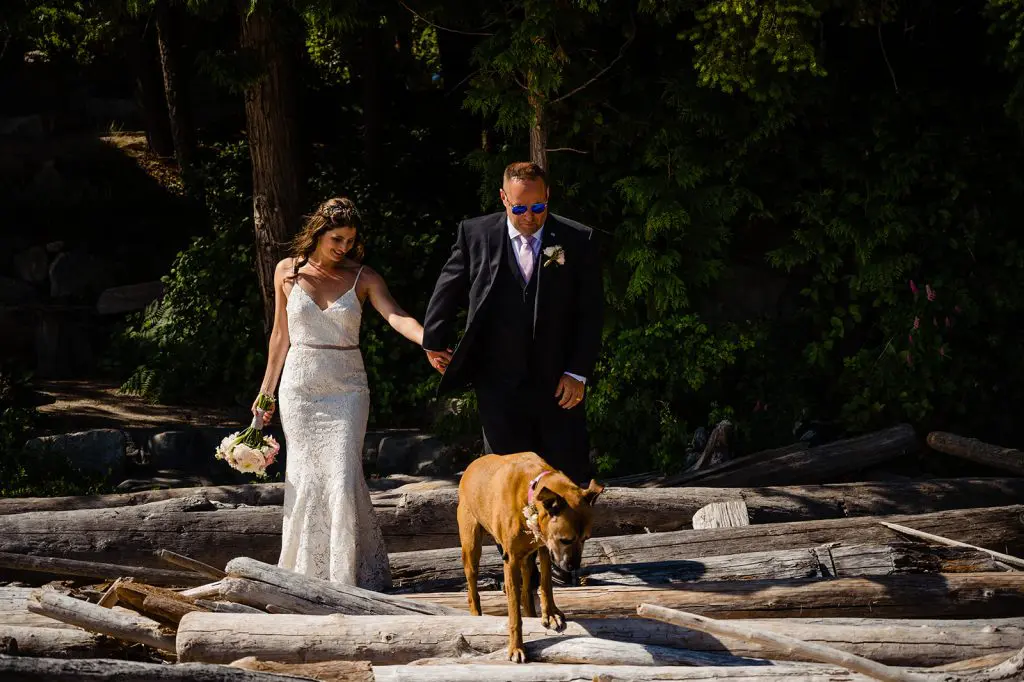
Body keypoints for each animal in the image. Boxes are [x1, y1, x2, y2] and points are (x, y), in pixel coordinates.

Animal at [456, 450, 598, 659]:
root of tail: (471, 466)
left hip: (527, 556)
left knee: (526, 589)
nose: (573, 567)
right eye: (566, 539)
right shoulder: (512, 559)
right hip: (471, 543)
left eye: (585, 538)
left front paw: (550, 613)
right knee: (472, 585)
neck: (530, 488)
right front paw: (516, 646)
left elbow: (546, 583)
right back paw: (476, 614)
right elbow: (514, 611)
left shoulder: (545, 547)